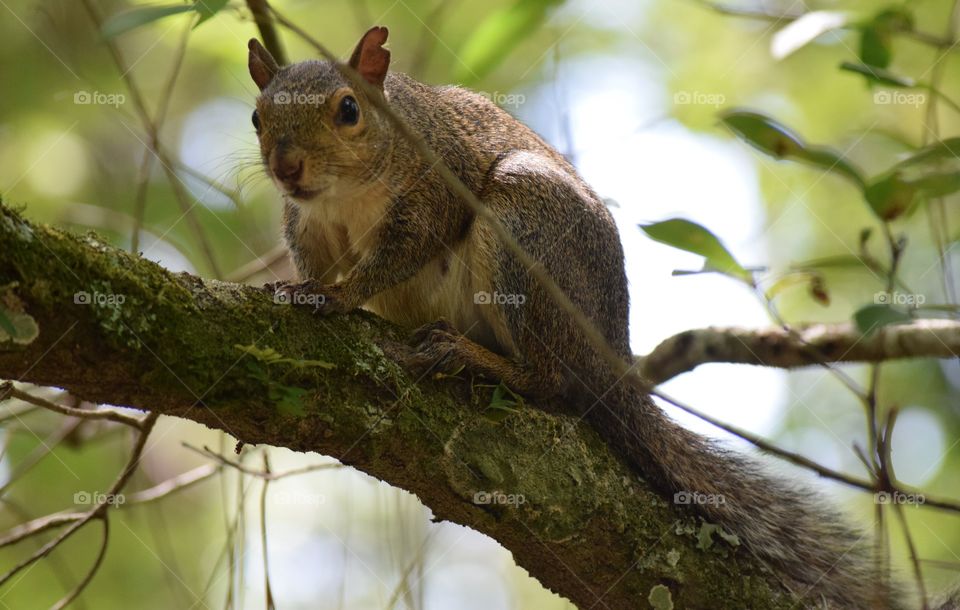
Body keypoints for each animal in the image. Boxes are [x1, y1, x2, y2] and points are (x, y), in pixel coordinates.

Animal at [248, 26, 928, 604]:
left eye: (348, 111)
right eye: (257, 117)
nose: (286, 167)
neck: (344, 194)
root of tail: (613, 357)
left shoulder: (433, 191)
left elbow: (404, 251)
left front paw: (341, 296)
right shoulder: (307, 223)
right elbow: (315, 262)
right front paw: (304, 287)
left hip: (527, 227)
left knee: (551, 382)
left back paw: (469, 357)